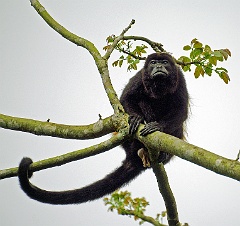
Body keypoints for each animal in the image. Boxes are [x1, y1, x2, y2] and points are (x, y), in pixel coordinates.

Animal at [17, 52, 188, 205]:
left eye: (164, 62)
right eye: (153, 63)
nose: (159, 66)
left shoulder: (181, 80)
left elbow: (181, 110)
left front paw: (158, 125)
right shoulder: (139, 77)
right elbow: (127, 98)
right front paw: (136, 118)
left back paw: (162, 154)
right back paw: (141, 147)